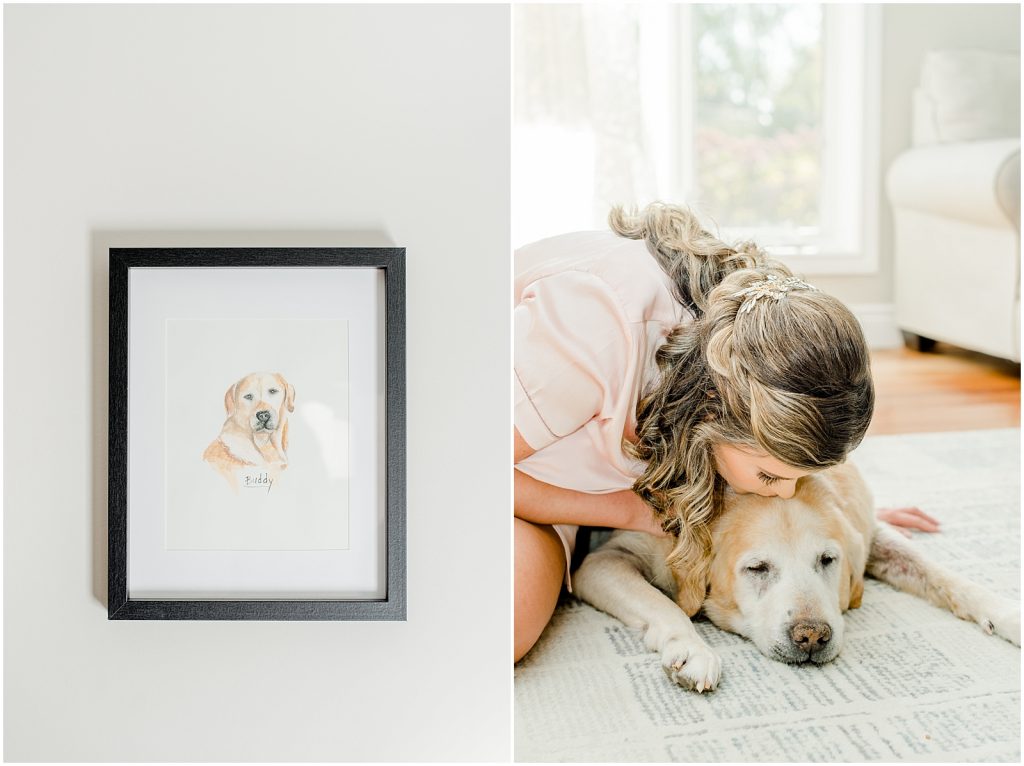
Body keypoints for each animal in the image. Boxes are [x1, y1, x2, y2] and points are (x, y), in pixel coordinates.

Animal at [573, 460, 1019, 692]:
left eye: (827, 560)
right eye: (758, 568)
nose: (811, 637)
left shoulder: (870, 533)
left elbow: (942, 574)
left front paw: (1006, 613)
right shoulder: (605, 560)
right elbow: (669, 608)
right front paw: (692, 650)